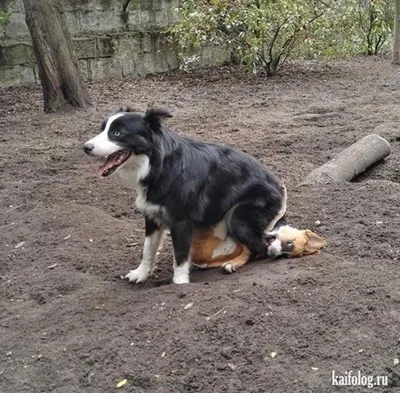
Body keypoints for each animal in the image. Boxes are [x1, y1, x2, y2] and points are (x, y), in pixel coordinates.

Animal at [83, 108, 284, 282]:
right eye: (102, 130)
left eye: (117, 133)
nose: (86, 147)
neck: (158, 166)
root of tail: (278, 186)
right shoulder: (152, 215)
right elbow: (148, 249)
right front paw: (141, 274)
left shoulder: (181, 221)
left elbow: (179, 256)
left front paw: (180, 283)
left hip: (238, 218)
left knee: (262, 247)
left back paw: (233, 263)